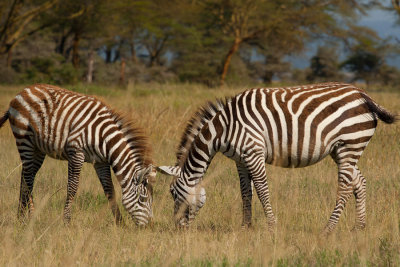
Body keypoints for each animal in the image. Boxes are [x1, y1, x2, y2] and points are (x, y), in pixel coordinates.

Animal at [0, 85, 155, 227]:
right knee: (27, 178)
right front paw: (67, 221)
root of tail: (23, 91)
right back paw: (31, 216)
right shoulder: (76, 153)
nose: (149, 226)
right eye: (142, 199)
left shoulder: (100, 162)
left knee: (26, 176)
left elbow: (109, 190)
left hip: (38, 149)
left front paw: (119, 222)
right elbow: (72, 187)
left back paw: (21, 217)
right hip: (24, 140)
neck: (104, 139)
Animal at [157, 82, 396, 234]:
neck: (222, 129)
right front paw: (245, 228)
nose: (177, 228)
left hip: (349, 145)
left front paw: (272, 227)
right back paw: (359, 227)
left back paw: (328, 229)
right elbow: (246, 192)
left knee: (345, 188)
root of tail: (365, 96)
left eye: (172, 192)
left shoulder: (253, 152)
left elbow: (262, 190)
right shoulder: (240, 160)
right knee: (360, 182)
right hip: (341, 150)